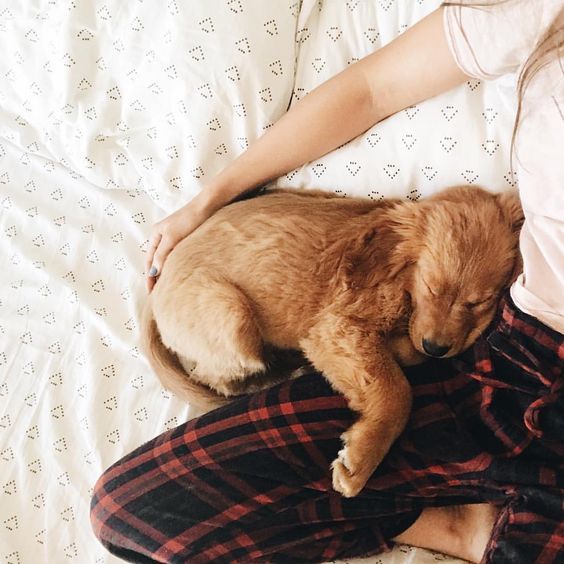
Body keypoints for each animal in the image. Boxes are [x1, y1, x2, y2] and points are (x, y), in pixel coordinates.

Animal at [143, 184, 524, 494]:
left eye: (479, 301)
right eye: (431, 286)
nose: (437, 348)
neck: (400, 276)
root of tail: (155, 290)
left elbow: (406, 356)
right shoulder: (336, 329)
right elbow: (397, 391)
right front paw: (363, 456)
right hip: (233, 314)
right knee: (214, 378)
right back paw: (287, 370)